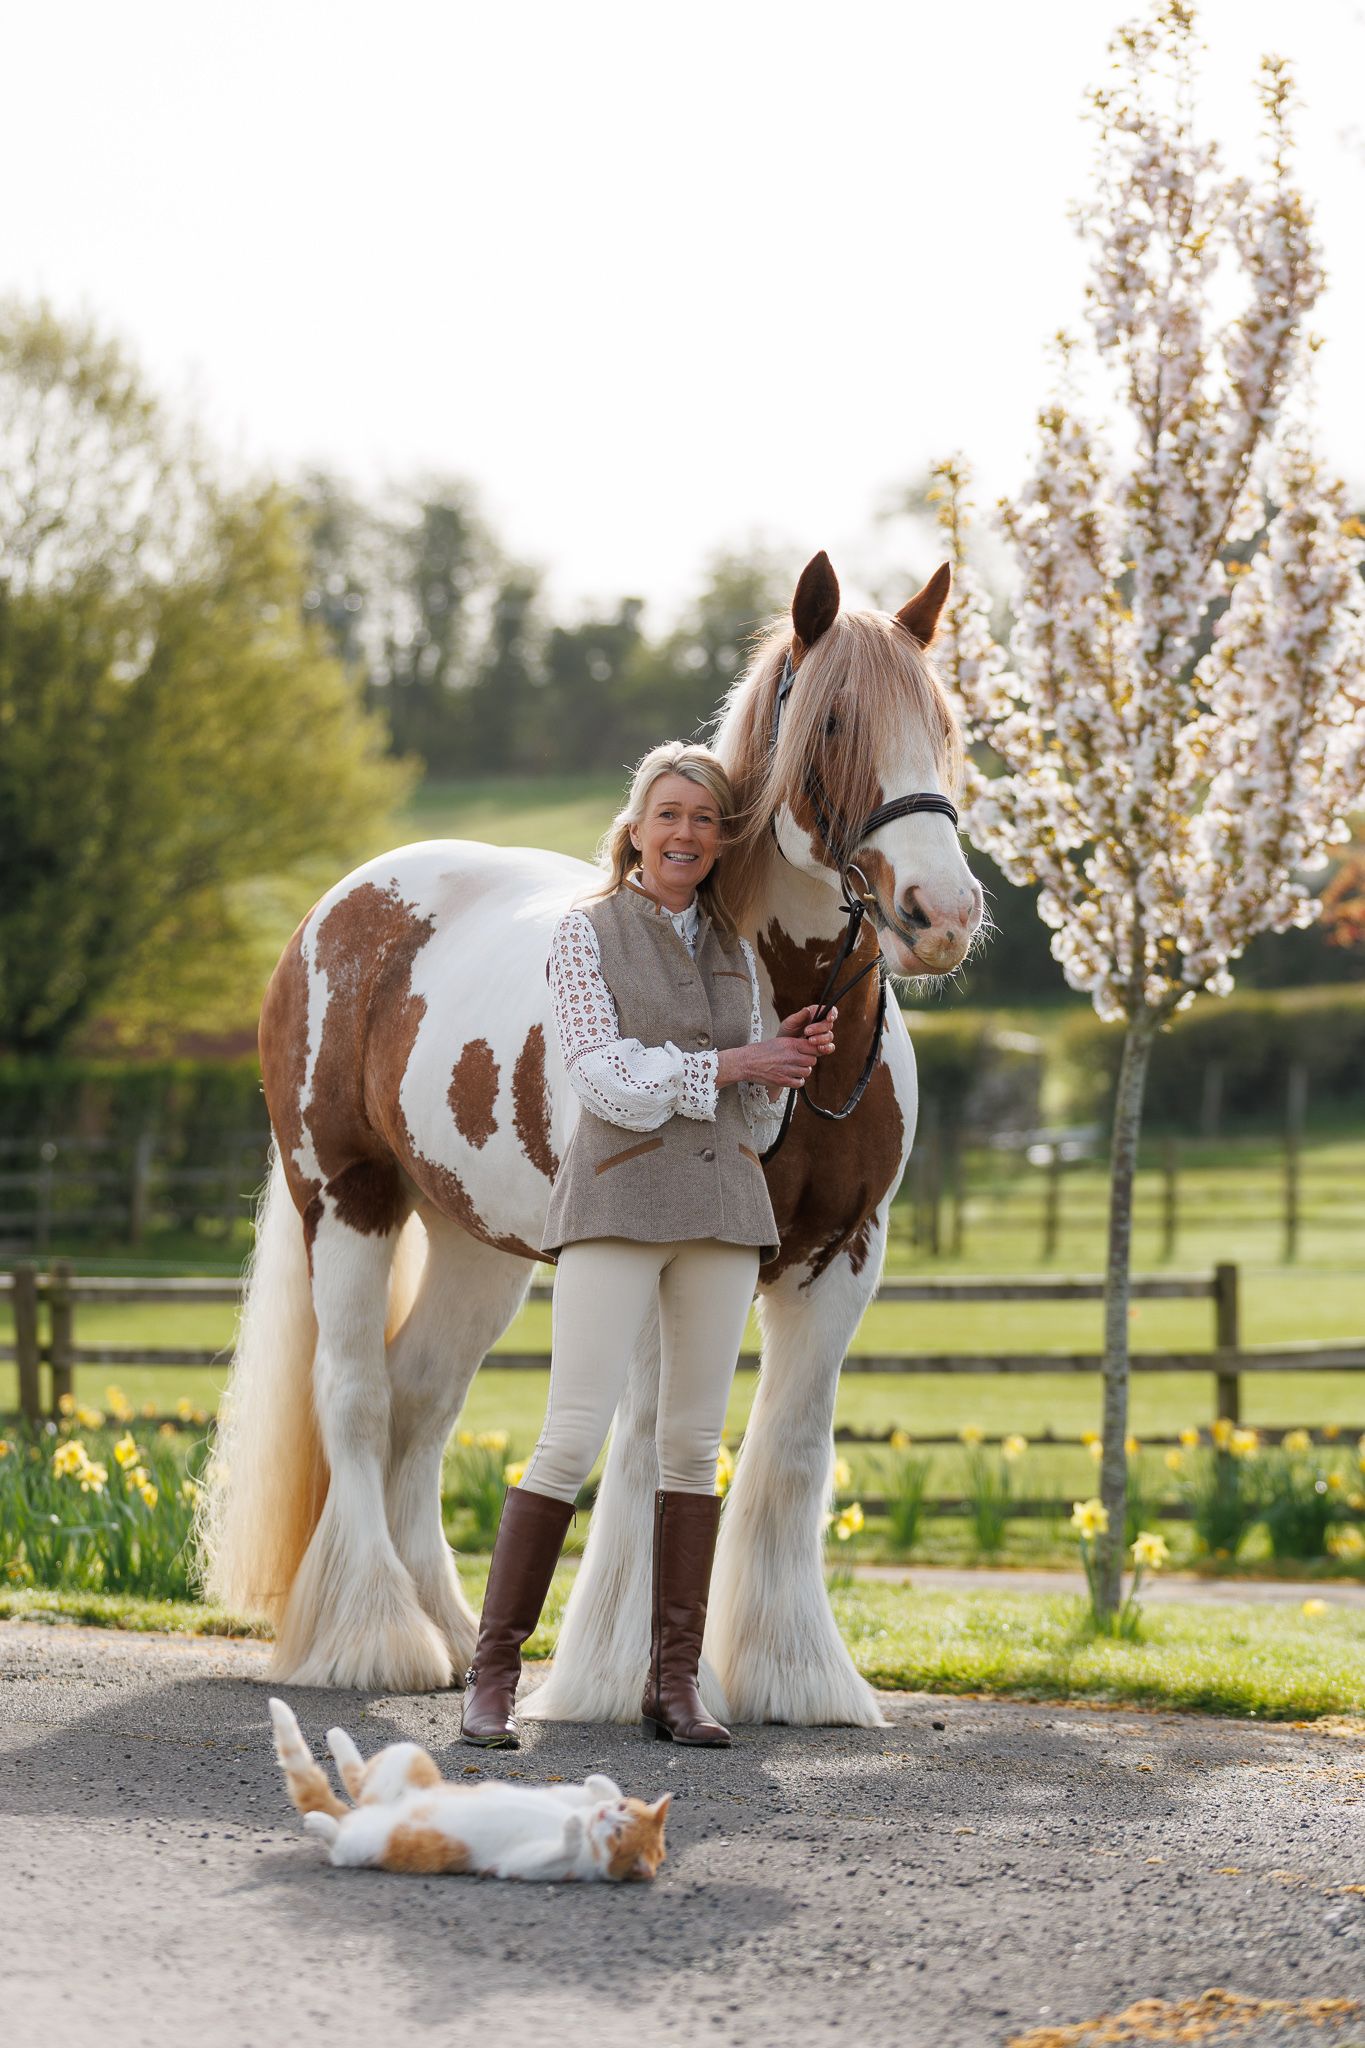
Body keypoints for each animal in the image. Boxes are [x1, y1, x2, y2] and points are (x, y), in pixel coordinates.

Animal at [197, 550, 983, 1724]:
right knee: (355, 1391)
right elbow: (651, 1444)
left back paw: (446, 1628)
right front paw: (619, 1679)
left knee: (420, 1399)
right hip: (345, 1197)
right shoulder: (673, 1259)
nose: (945, 914)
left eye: (941, 721)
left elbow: (791, 1451)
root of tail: (336, 910)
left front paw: (800, 1676)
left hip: (475, 1243)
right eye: (835, 721)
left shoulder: (844, 1256)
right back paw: (372, 1639)